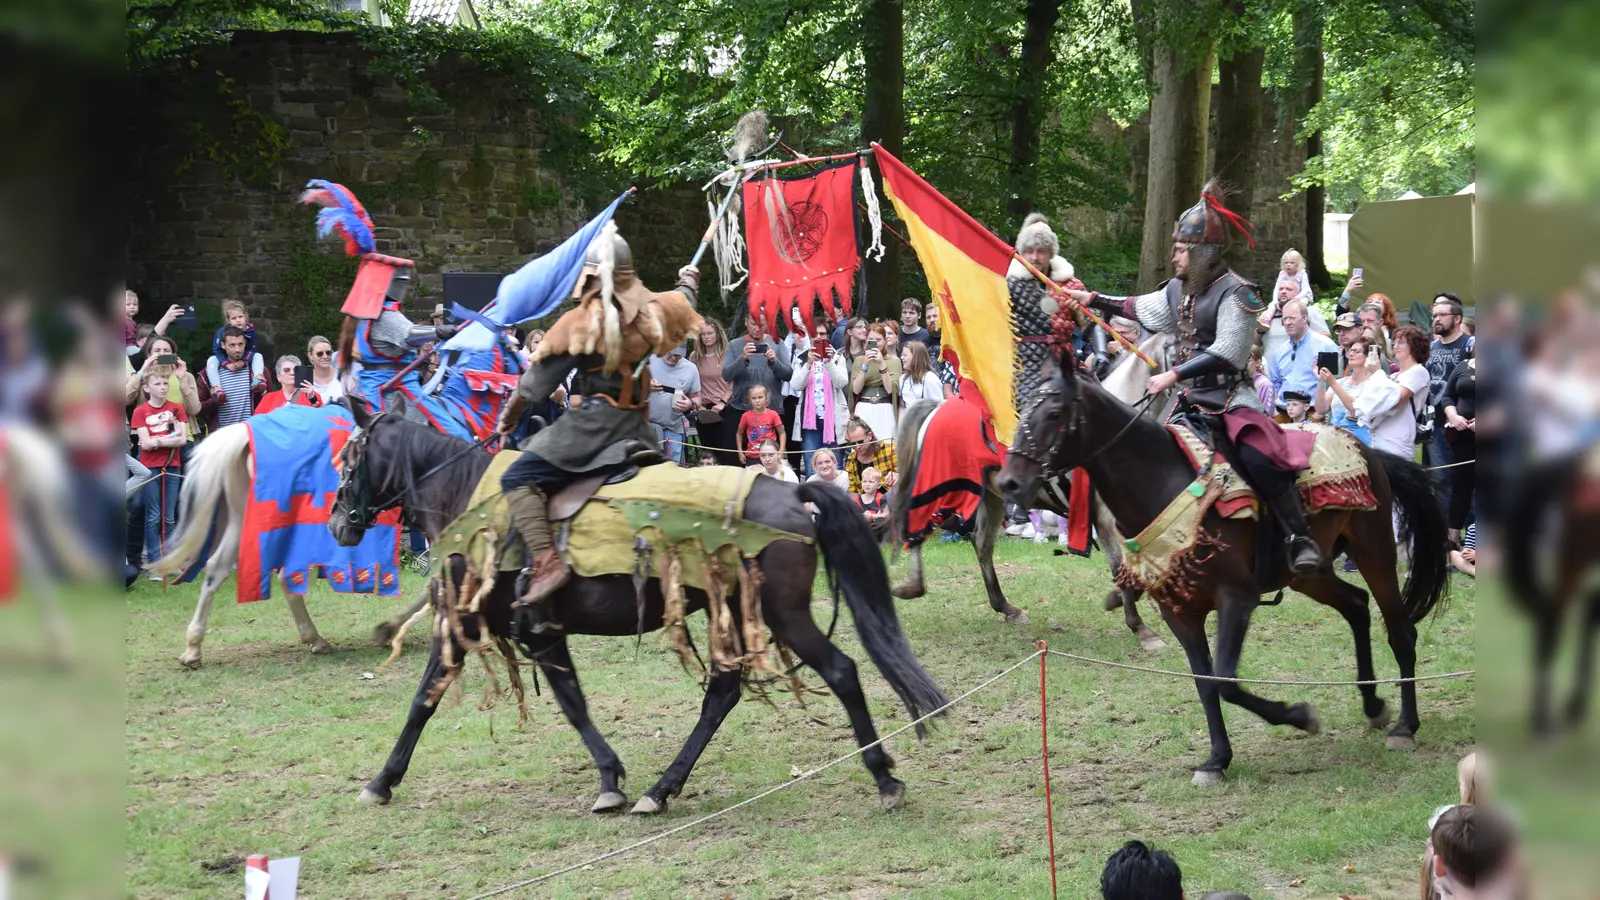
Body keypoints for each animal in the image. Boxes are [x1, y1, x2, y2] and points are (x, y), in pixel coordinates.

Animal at [148, 416, 435, 666]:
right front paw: (390, 628)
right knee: (286, 575)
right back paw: (315, 638)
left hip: (244, 520)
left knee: (216, 570)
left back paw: (193, 649)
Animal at [324, 398, 947, 813]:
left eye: (348, 460)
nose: (337, 522)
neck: (467, 497)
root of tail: (793, 491)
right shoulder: (542, 631)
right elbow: (572, 701)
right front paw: (611, 780)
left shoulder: (463, 622)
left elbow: (424, 699)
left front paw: (382, 780)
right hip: (734, 611)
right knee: (722, 694)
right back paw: (661, 789)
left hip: (782, 614)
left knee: (839, 673)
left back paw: (885, 779)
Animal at [889, 333, 1177, 646]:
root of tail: (936, 407)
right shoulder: (1106, 518)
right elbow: (1121, 566)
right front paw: (1139, 625)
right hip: (942, 490)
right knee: (916, 529)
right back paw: (913, 587)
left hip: (991, 497)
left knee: (981, 544)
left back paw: (1006, 607)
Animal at [992, 347, 1459, 781]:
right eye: (1023, 409)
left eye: (1054, 412)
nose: (1008, 482)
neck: (1159, 480)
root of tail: (1366, 448)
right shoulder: (1178, 610)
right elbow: (1206, 683)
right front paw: (1217, 759)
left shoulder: (1236, 597)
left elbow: (1226, 680)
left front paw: (1299, 716)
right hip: (1309, 573)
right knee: (1357, 606)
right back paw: (1373, 704)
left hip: (1373, 548)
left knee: (1399, 631)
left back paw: (1405, 726)